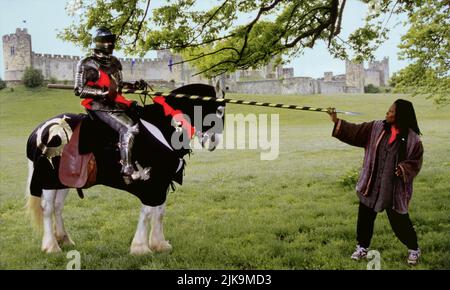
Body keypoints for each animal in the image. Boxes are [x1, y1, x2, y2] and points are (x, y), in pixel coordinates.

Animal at [24, 83, 225, 254]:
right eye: (219, 110)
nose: (213, 142)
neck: (163, 128)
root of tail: (38, 131)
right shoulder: (151, 183)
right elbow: (147, 212)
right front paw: (141, 248)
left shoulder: (162, 182)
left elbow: (159, 212)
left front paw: (160, 244)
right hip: (48, 180)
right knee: (47, 208)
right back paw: (51, 246)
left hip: (62, 180)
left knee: (57, 207)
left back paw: (64, 239)